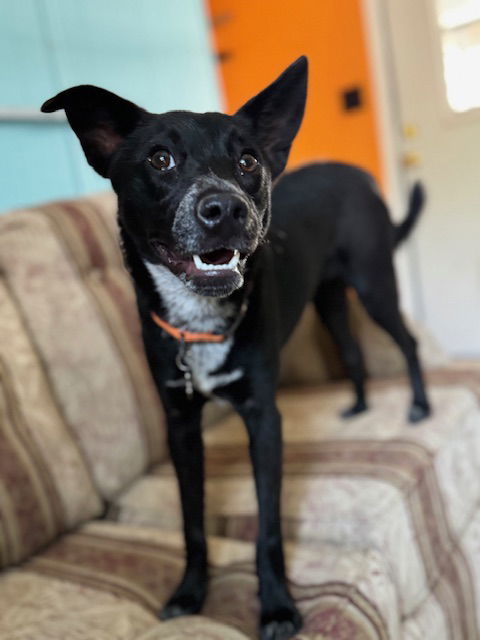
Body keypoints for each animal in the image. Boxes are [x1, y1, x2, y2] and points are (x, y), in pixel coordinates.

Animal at [41, 56, 430, 640]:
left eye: (247, 160)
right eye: (160, 158)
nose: (225, 208)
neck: (199, 321)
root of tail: (356, 174)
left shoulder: (264, 420)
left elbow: (268, 525)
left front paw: (277, 607)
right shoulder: (180, 426)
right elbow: (191, 520)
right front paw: (188, 592)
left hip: (373, 284)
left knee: (407, 341)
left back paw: (419, 406)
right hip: (328, 300)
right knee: (353, 350)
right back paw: (360, 405)